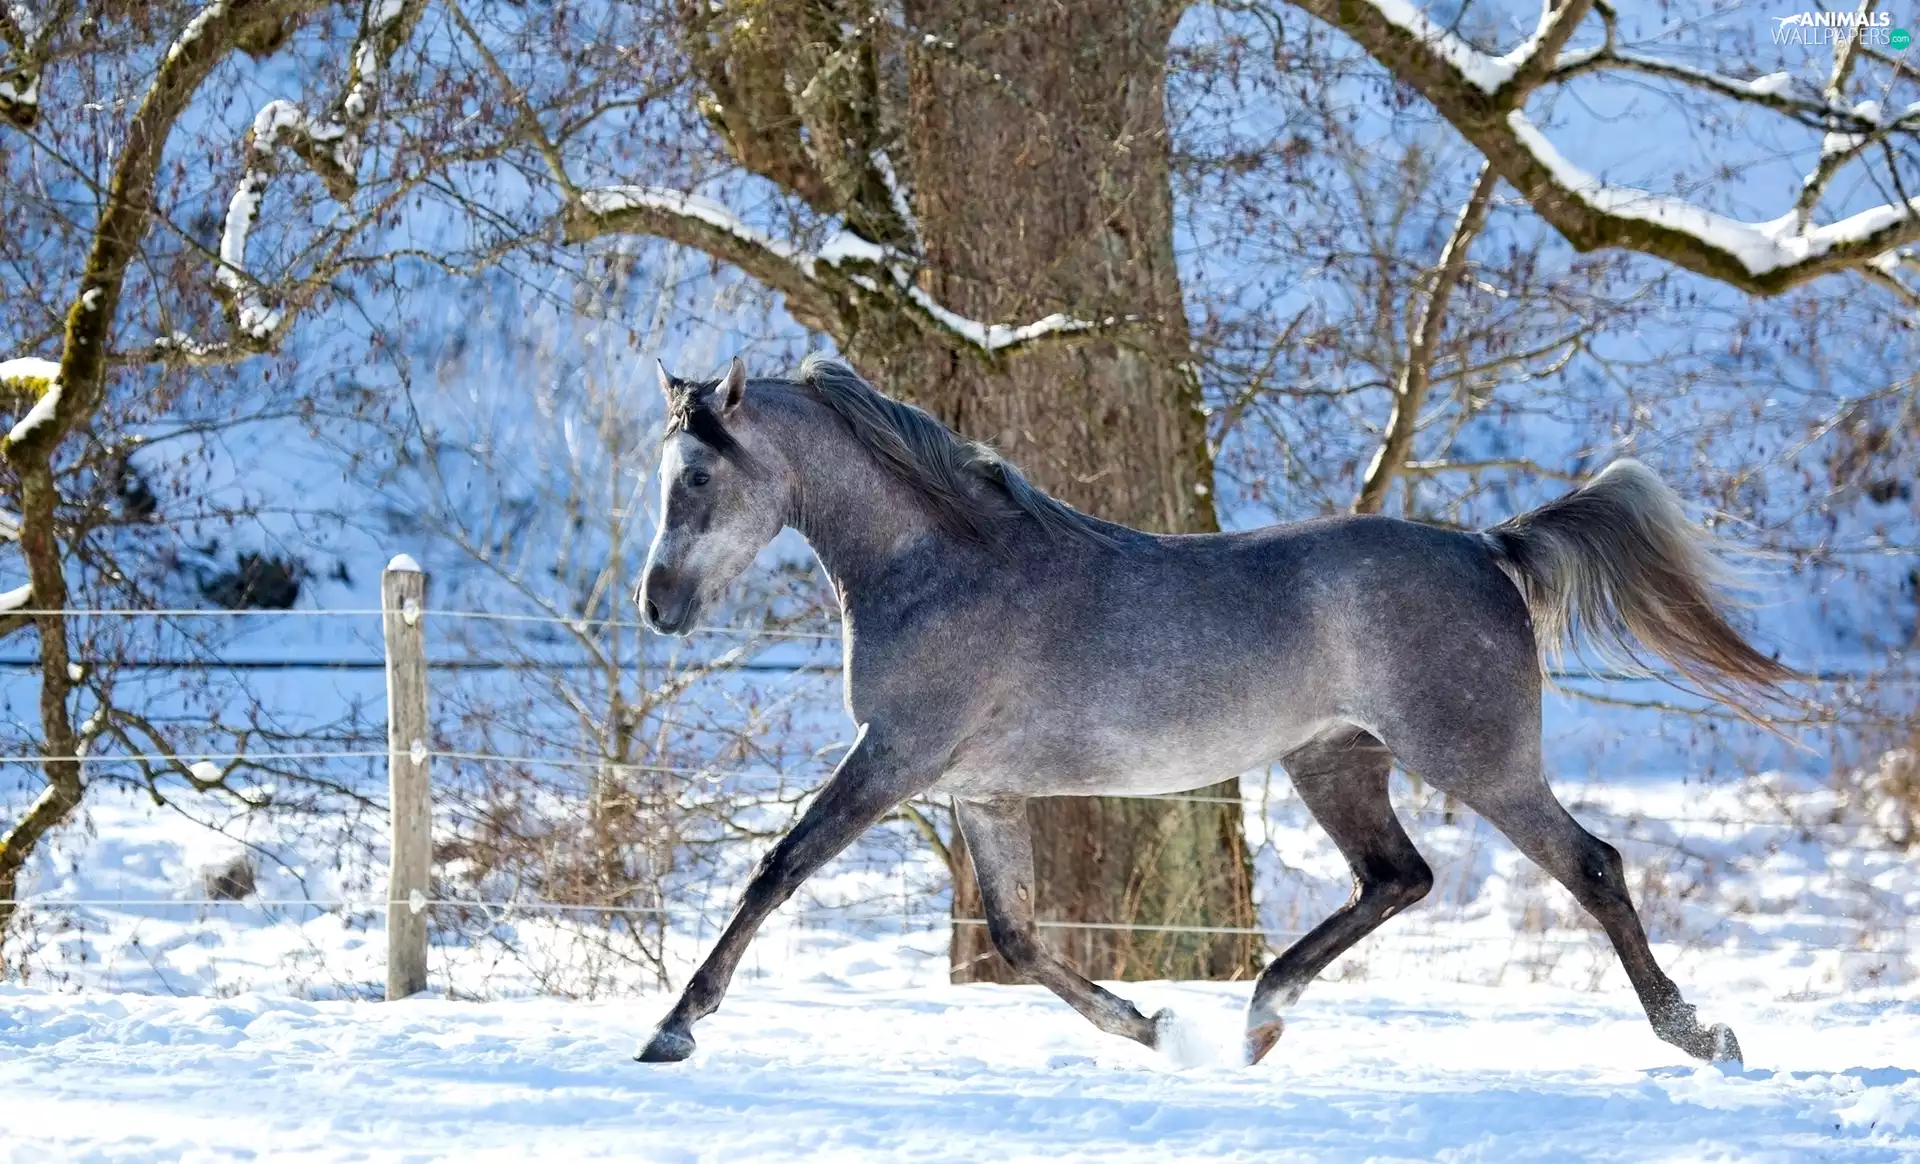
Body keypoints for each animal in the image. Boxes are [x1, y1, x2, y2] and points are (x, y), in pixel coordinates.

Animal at [632, 353, 1791, 1067]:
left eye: (695, 477)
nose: (658, 604)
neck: (940, 566)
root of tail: (1486, 545)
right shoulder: (978, 791)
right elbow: (1018, 938)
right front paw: (1151, 1029)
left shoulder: (893, 759)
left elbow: (776, 871)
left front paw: (672, 1030)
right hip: (1335, 761)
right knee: (1395, 878)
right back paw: (1256, 1021)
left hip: (1477, 760)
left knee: (1591, 865)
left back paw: (1701, 1037)